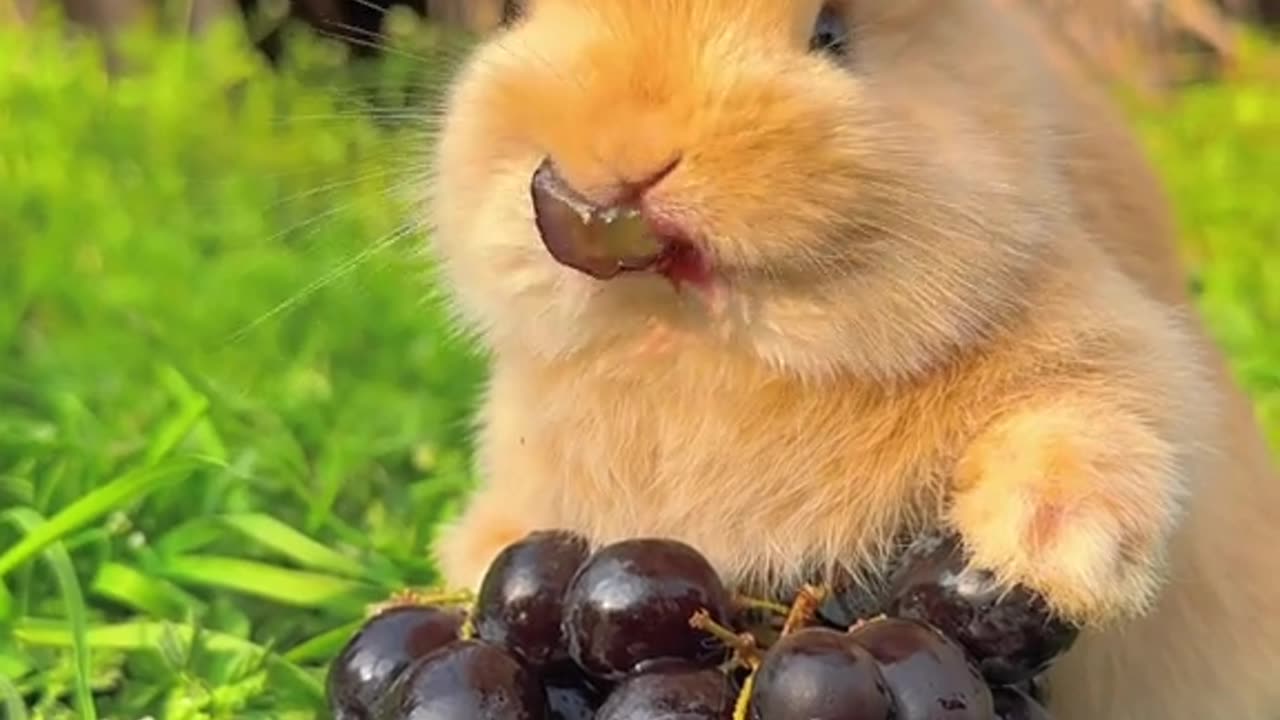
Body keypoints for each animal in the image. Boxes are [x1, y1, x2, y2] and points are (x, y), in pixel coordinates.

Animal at [419, 2, 1280, 712]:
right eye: (525, 14)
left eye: (831, 34)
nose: (627, 161)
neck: (705, 356)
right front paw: (481, 560)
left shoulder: (1116, 353)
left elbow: (1089, 422)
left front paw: (1048, 551)